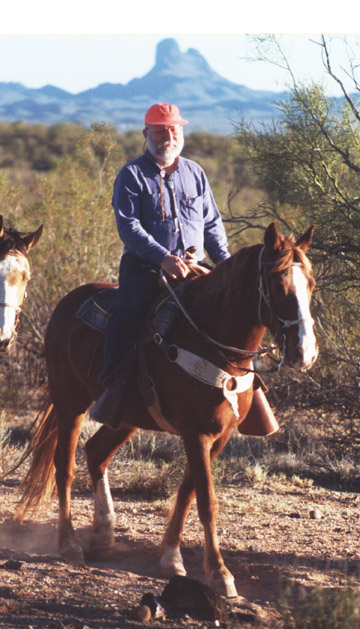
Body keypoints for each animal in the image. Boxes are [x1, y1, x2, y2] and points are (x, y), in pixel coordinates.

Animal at [16, 223, 316, 596]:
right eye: (277, 284)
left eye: (311, 283)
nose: (305, 353)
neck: (213, 343)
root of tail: (67, 303)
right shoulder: (196, 432)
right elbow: (207, 501)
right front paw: (220, 574)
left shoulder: (217, 436)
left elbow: (188, 492)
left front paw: (171, 557)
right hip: (70, 402)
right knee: (65, 467)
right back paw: (69, 545)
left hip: (124, 416)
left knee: (97, 452)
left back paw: (103, 533)